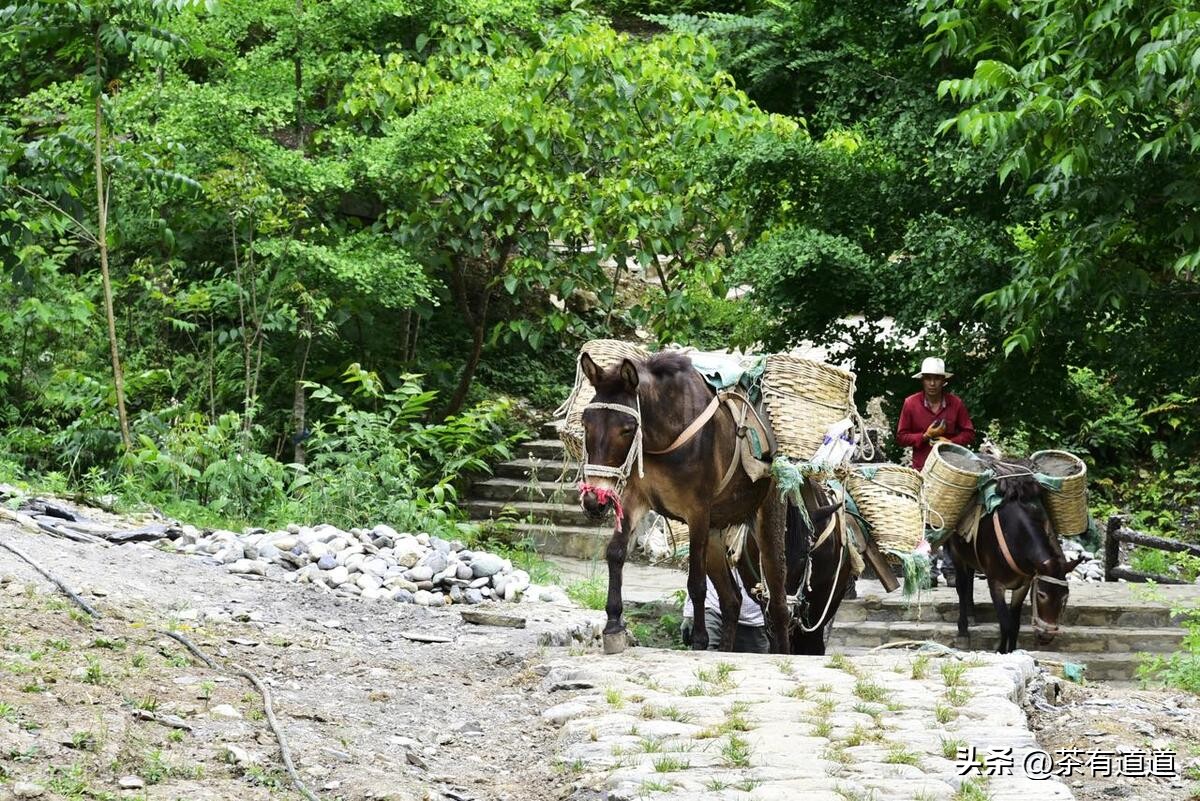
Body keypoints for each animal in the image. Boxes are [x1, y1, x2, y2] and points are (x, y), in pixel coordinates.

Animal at [577, 351, 790, 653]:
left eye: (628, 429)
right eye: (586, 423)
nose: (595, 501)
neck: (662, 437)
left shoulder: (697, 511)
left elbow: (696, 583)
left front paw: (699, 639)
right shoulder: (633, 499)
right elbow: (615, 554)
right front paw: (614, 625)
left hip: (766, 521)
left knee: (778, 603)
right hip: (715, 534)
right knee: (732, 599)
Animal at [943, 456, 1083, 653]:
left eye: (1065, 597)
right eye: (1041, 594)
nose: (1046, 637)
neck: (1015, 537)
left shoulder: (1023, 586)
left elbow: (1015, 625)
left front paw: (1012, 651)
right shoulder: (995, 584)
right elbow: (1005, 623)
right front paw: (1001, 652)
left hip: (970, 554)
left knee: (969, 579)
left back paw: (971, 615)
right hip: (957, 553)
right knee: (962, 586)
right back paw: (963, 630)